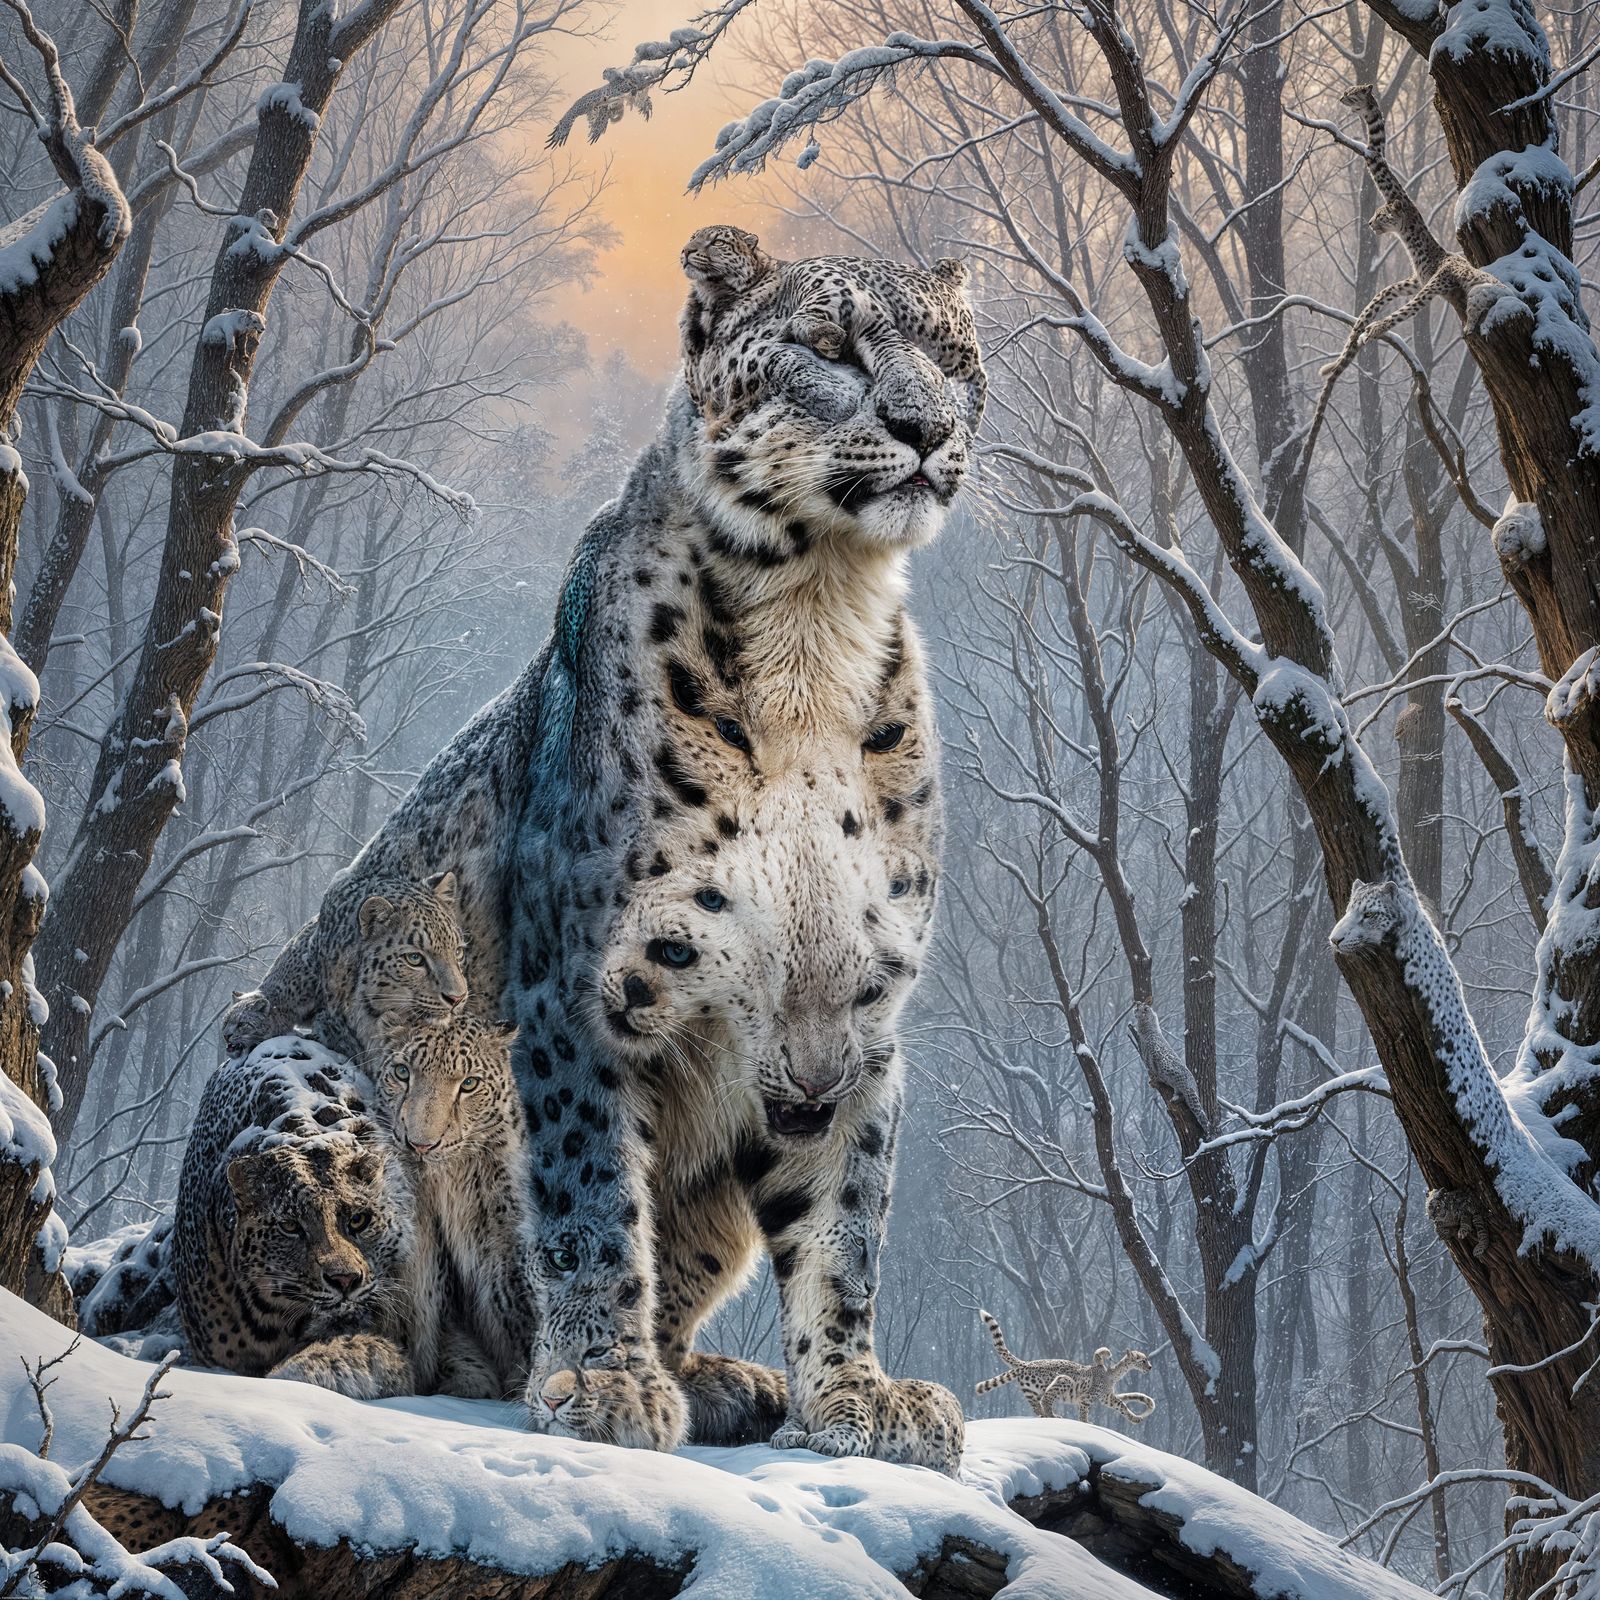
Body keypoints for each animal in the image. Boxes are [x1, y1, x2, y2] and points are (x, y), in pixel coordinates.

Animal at [974, 1310, 1156, 1426]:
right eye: (1143, 1360)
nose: (1150, 1367)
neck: (1113, 1374)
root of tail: (1027, 1363)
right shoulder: (1087, 1398)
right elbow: (1084, 1412)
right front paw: (1086, 1423)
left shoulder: (1107, 1397)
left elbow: (1122, 1405)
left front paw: (1135, 1418)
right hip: (1063, 1379)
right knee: (1046, 1399)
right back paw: (1053, 1415)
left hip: (1032, 1391)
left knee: (1037, 1405)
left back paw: (1047, 1415)